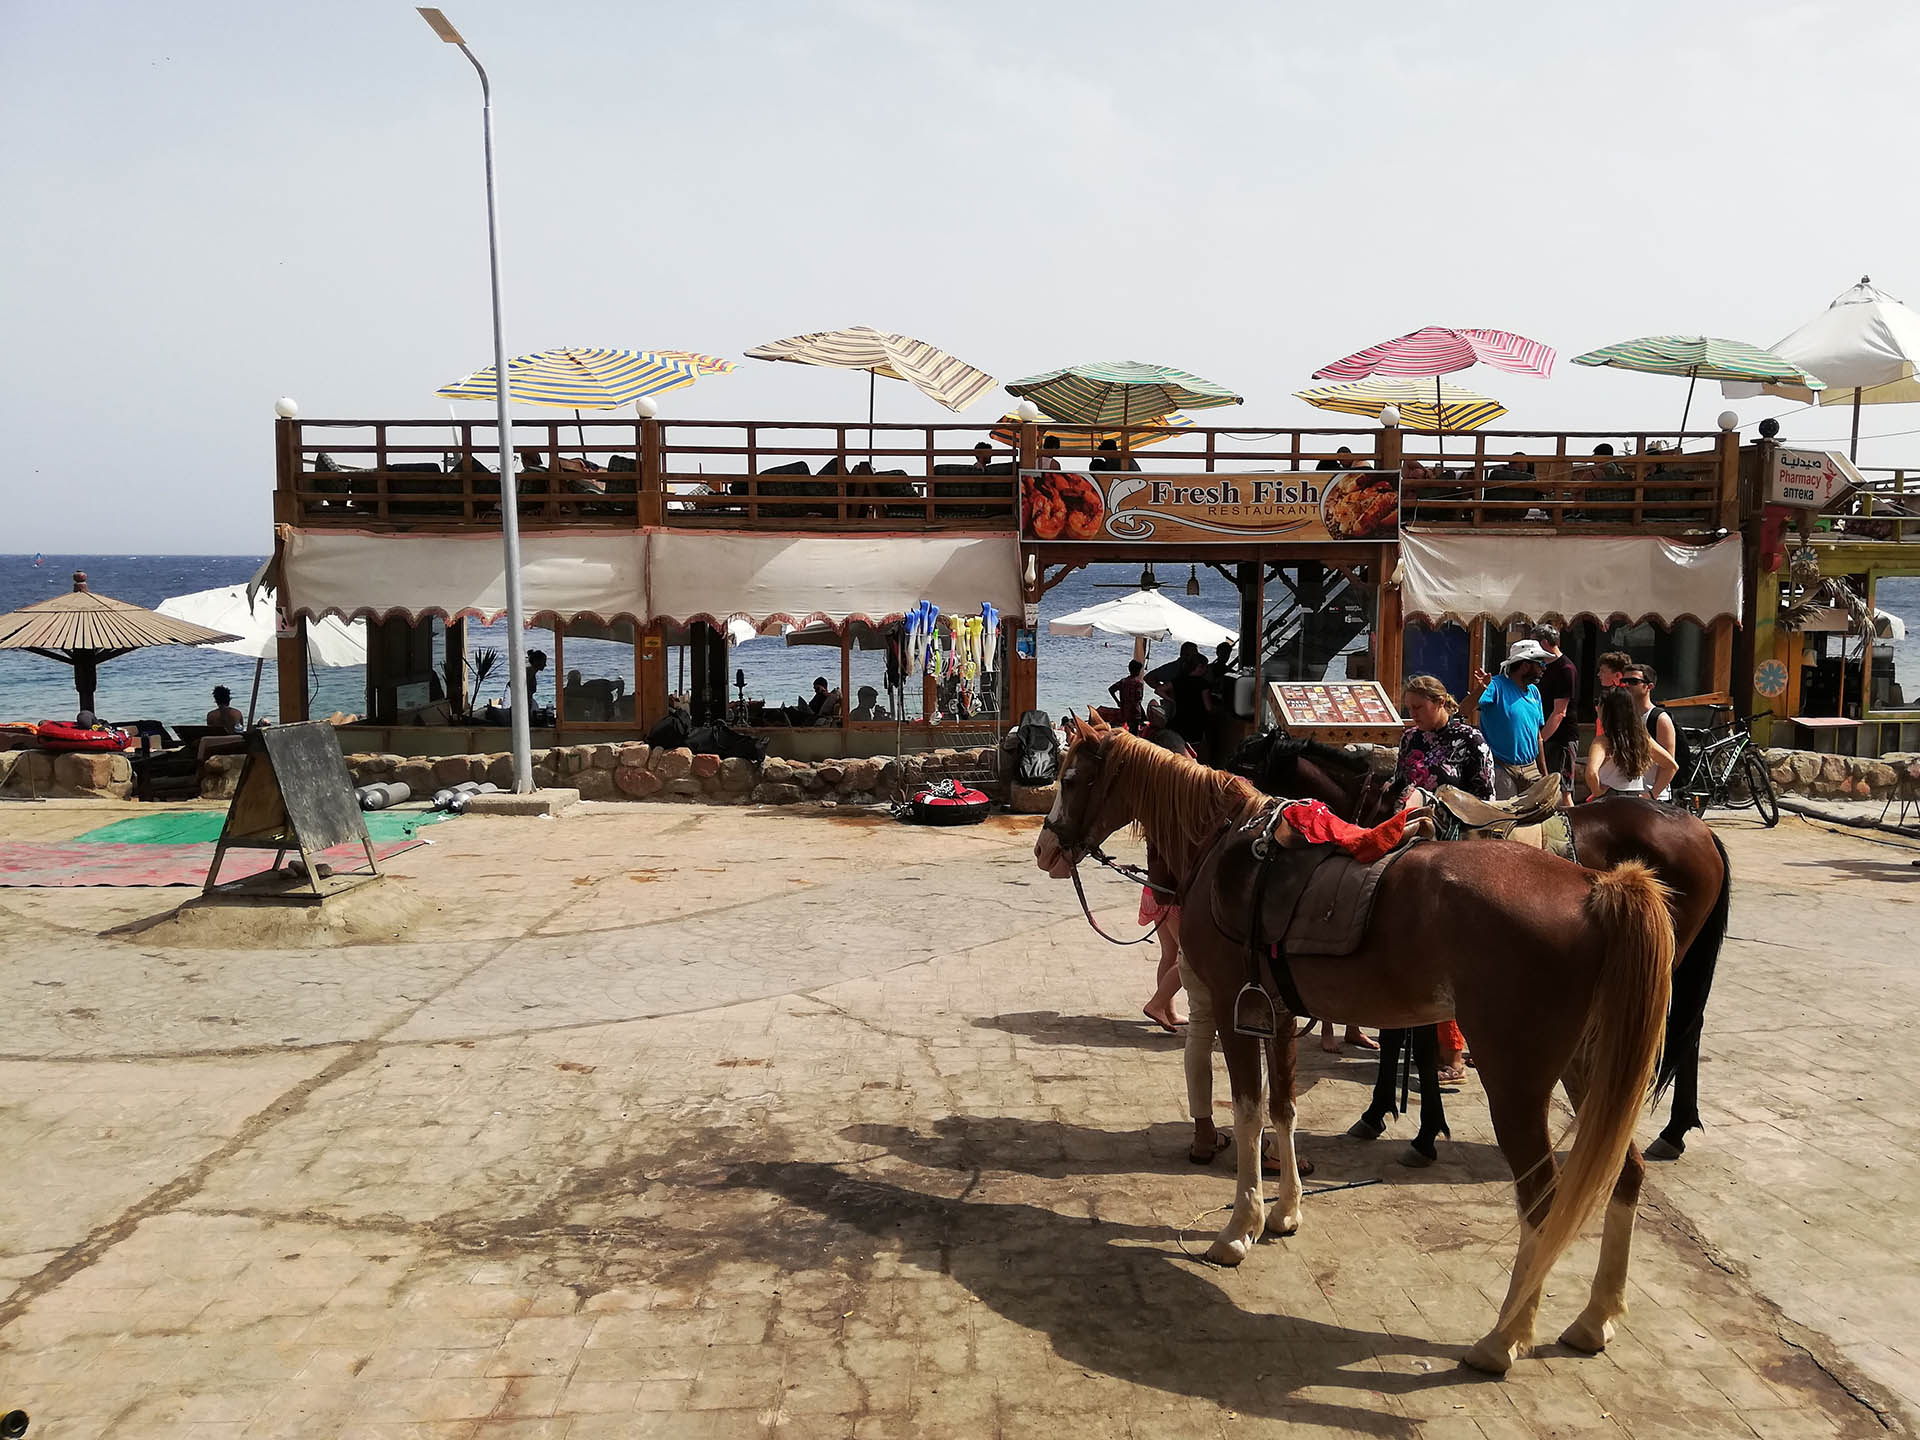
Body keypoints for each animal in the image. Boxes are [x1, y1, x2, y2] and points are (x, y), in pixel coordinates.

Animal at [1029, 721, 1674, 1374]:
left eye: (1073, 778)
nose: (1045, 850)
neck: (1224, 851)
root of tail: (1597, 888)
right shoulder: (1279, 1015)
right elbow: (1284, 1109)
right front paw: (1286, 1212)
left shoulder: (1238, 1015)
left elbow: (1249, 1112)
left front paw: (1240, 1229)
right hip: (1588, 1070)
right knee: (1624, 1175)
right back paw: (1594, 1320)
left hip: (1516, 1080)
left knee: (1543, 1202)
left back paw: (1502, 1340)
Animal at [1228, 733, 1743, 1159]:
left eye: (1245, 762)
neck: (1388, 825)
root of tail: (1700, 830)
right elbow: (1404, 1035)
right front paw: (1393, 1118)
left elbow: (1410, 1039)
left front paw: (1408, 1126)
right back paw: (1673, 1129)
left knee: (1682, 1030)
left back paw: (1667, 1131)